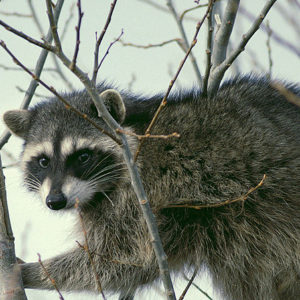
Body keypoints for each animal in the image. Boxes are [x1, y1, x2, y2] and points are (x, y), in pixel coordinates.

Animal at [1, 77, 300, 300]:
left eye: (83, 156)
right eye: (43, 161)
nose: (55, 201)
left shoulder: (144, 194)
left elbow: (122, 259)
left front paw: (30, 271)